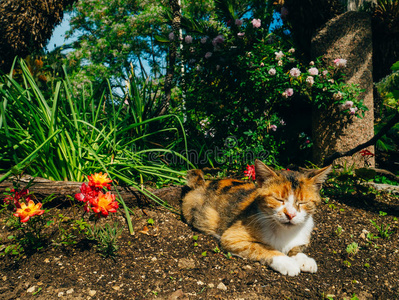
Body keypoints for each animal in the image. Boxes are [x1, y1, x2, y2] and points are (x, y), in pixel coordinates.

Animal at [181, 159, 332, 276]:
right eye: (278, 199)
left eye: (302, 202)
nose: (290, 214)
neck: (285, 232)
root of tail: (203, 183)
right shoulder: (232, 237)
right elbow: (261, 248)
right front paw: (287, 262)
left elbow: (297, 247)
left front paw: (303, 259)